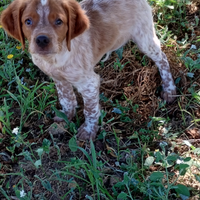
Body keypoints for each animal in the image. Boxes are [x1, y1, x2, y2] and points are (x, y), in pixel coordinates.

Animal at [1, 0, 177, 141]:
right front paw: (65, 118)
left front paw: (88, 131)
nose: (42, 40)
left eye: (59, 21)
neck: (55, 58)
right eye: (28, 21)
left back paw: (169, 89)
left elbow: (90, 110)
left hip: (144, 37)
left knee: (162, 58)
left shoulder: (89, 83)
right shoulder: (59, 79)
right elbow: (67, 100)